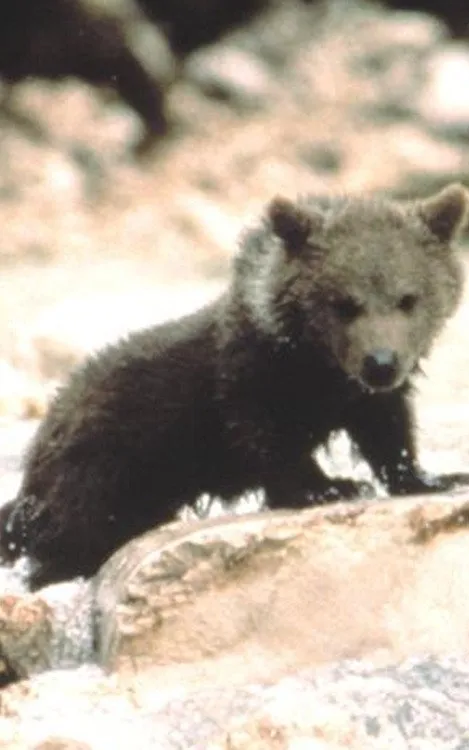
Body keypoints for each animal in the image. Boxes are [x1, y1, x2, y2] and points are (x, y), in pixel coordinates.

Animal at [1, 183, 469, 590]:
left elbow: (387, 431)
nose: (381, 363)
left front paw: (433, 477)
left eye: (408, 298)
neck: (313, 365)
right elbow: (269, 442)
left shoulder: (359, 397)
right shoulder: (249, 381)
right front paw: (329, 486)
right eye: (343, 303)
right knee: (71, 540)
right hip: (97, 476)